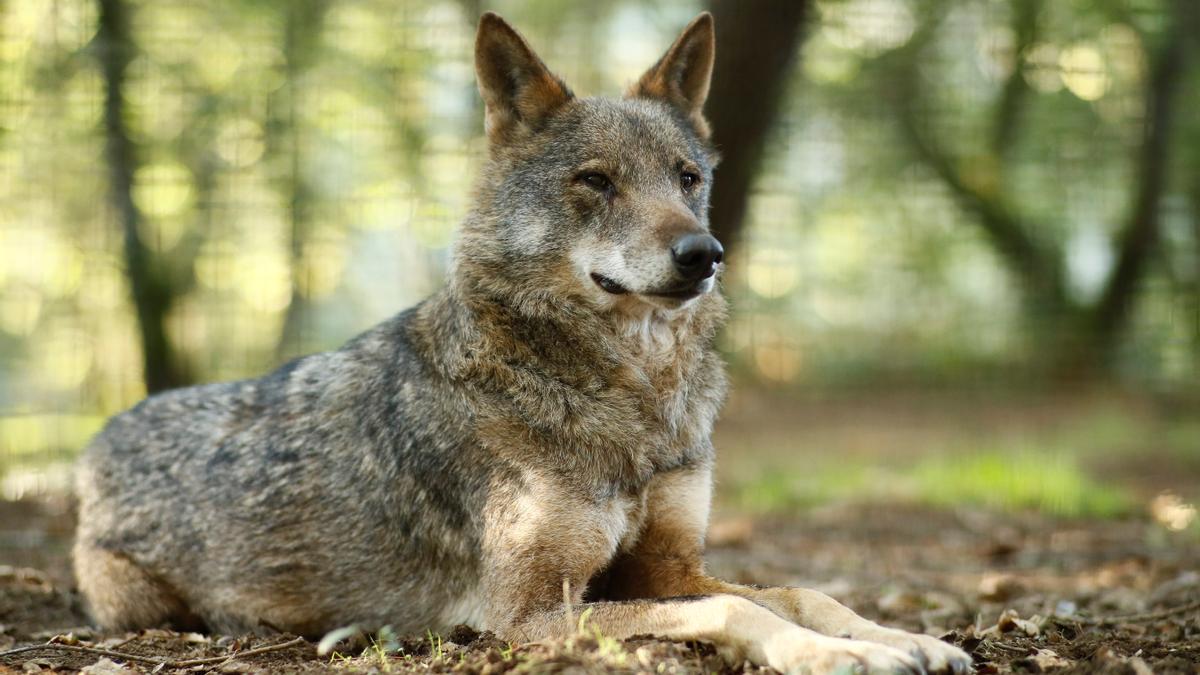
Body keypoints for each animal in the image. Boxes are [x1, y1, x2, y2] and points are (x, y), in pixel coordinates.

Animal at [72, 11, 974, 672]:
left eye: (687, 178)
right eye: (596, 180)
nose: (704, 254)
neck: (632, 394)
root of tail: (98, 440)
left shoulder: (668, 564)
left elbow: (799, 591)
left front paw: (907, 638)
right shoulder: (528, 608)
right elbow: (733, 605)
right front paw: (836, 655)